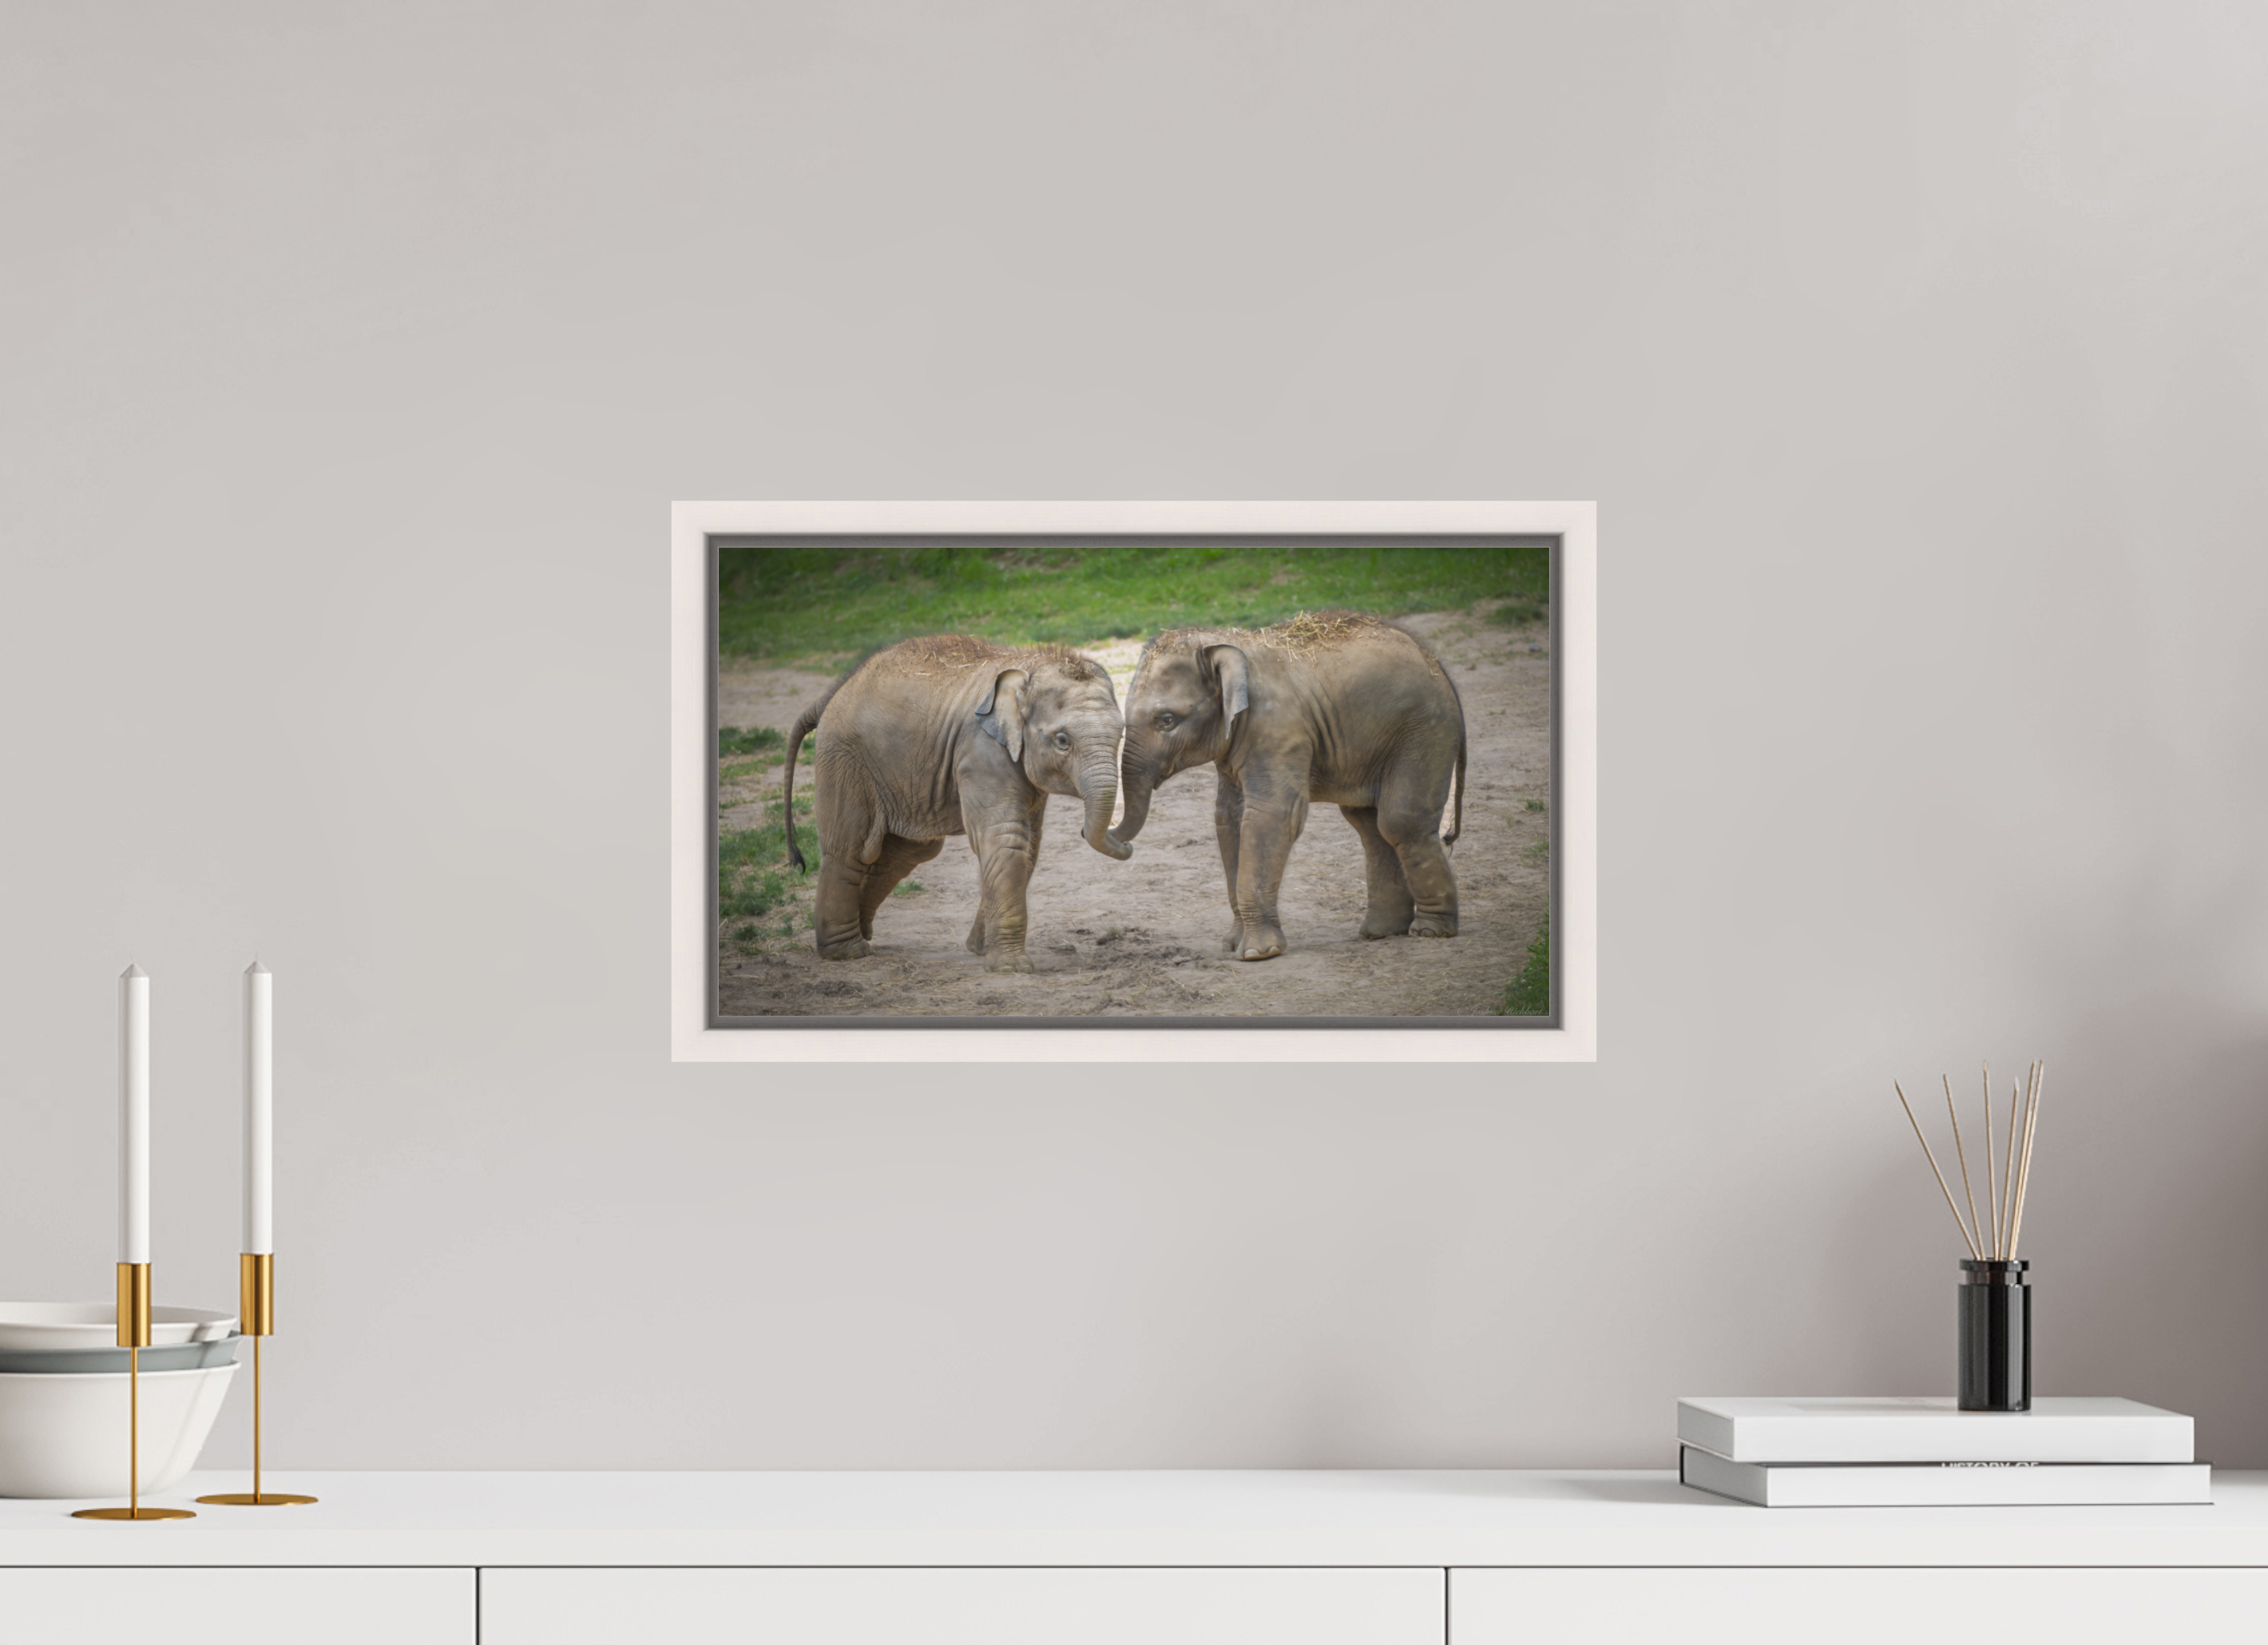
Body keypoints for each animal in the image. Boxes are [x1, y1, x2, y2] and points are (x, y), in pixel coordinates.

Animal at [781, 636, 1130, 971]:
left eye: (1122, 734)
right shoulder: (981, 751)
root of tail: (832, 693)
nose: (1125, 844)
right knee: (851, 848)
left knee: (909, 851)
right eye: (1062, 741)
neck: (1030, 666)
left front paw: (981, 950)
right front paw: (1012, 968)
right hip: (845, 759)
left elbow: (1029, 844)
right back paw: (848, 952)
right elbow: (1005, 837)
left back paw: (863, 933)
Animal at [1108, 610, 1466, 961]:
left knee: (1399, 821)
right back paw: (1381, 932)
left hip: (1423, 732)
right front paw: (1233, 944)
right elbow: (1228, 819)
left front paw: (1258, 953)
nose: (1122, 844)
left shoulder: (1278, 729)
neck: (1228, 644)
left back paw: (1431, 931)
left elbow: (1272, 815)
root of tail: (1438, 664)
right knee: (1369, 825)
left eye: (1166, 721)